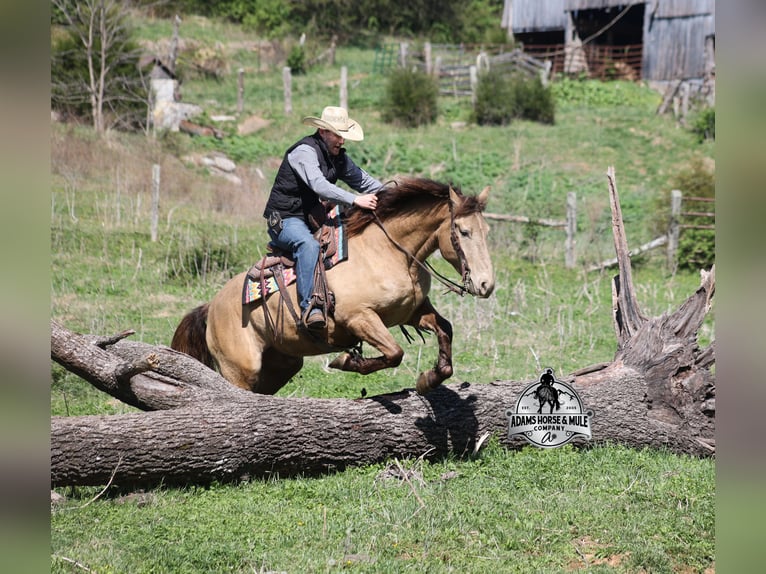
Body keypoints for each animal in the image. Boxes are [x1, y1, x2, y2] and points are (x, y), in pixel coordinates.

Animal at [171, 177, 495, 396]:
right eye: (463, 231)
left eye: (486, 231)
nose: (486, 284)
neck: (388, 252)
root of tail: (211, 307)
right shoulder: (359, 318)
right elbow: (394, 353)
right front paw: (345, 360)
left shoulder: (413, 311)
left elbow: (445, 330)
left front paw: (429, 379)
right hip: (239, 369)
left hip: (281, 364)